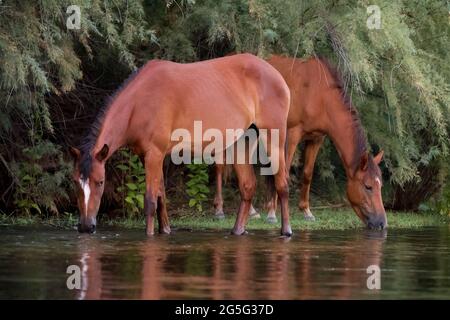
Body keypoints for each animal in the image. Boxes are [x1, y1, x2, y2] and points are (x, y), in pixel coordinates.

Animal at [70, 53, 294, 236]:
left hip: (273, 138)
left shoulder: (154, 154)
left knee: (282, 184)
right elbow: (161, 195)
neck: (139, 103)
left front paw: (149, 236)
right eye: (75, 182)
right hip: (240, 142)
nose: (86, 226)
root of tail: (276, 74)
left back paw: (286, 230)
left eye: (100, 182)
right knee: (248, 186)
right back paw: (237, 231)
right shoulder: (149, 156)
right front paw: (166, 230)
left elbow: (150, 200)